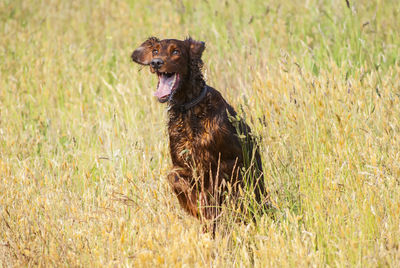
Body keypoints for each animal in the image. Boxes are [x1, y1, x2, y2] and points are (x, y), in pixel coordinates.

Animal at [132, 36, 268, 227]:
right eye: (155, 51)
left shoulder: (228, 163)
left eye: (176, 51)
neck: (189, 109)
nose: (156, 62)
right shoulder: (182, 164)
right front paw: (196, 209)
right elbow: (174, 178)